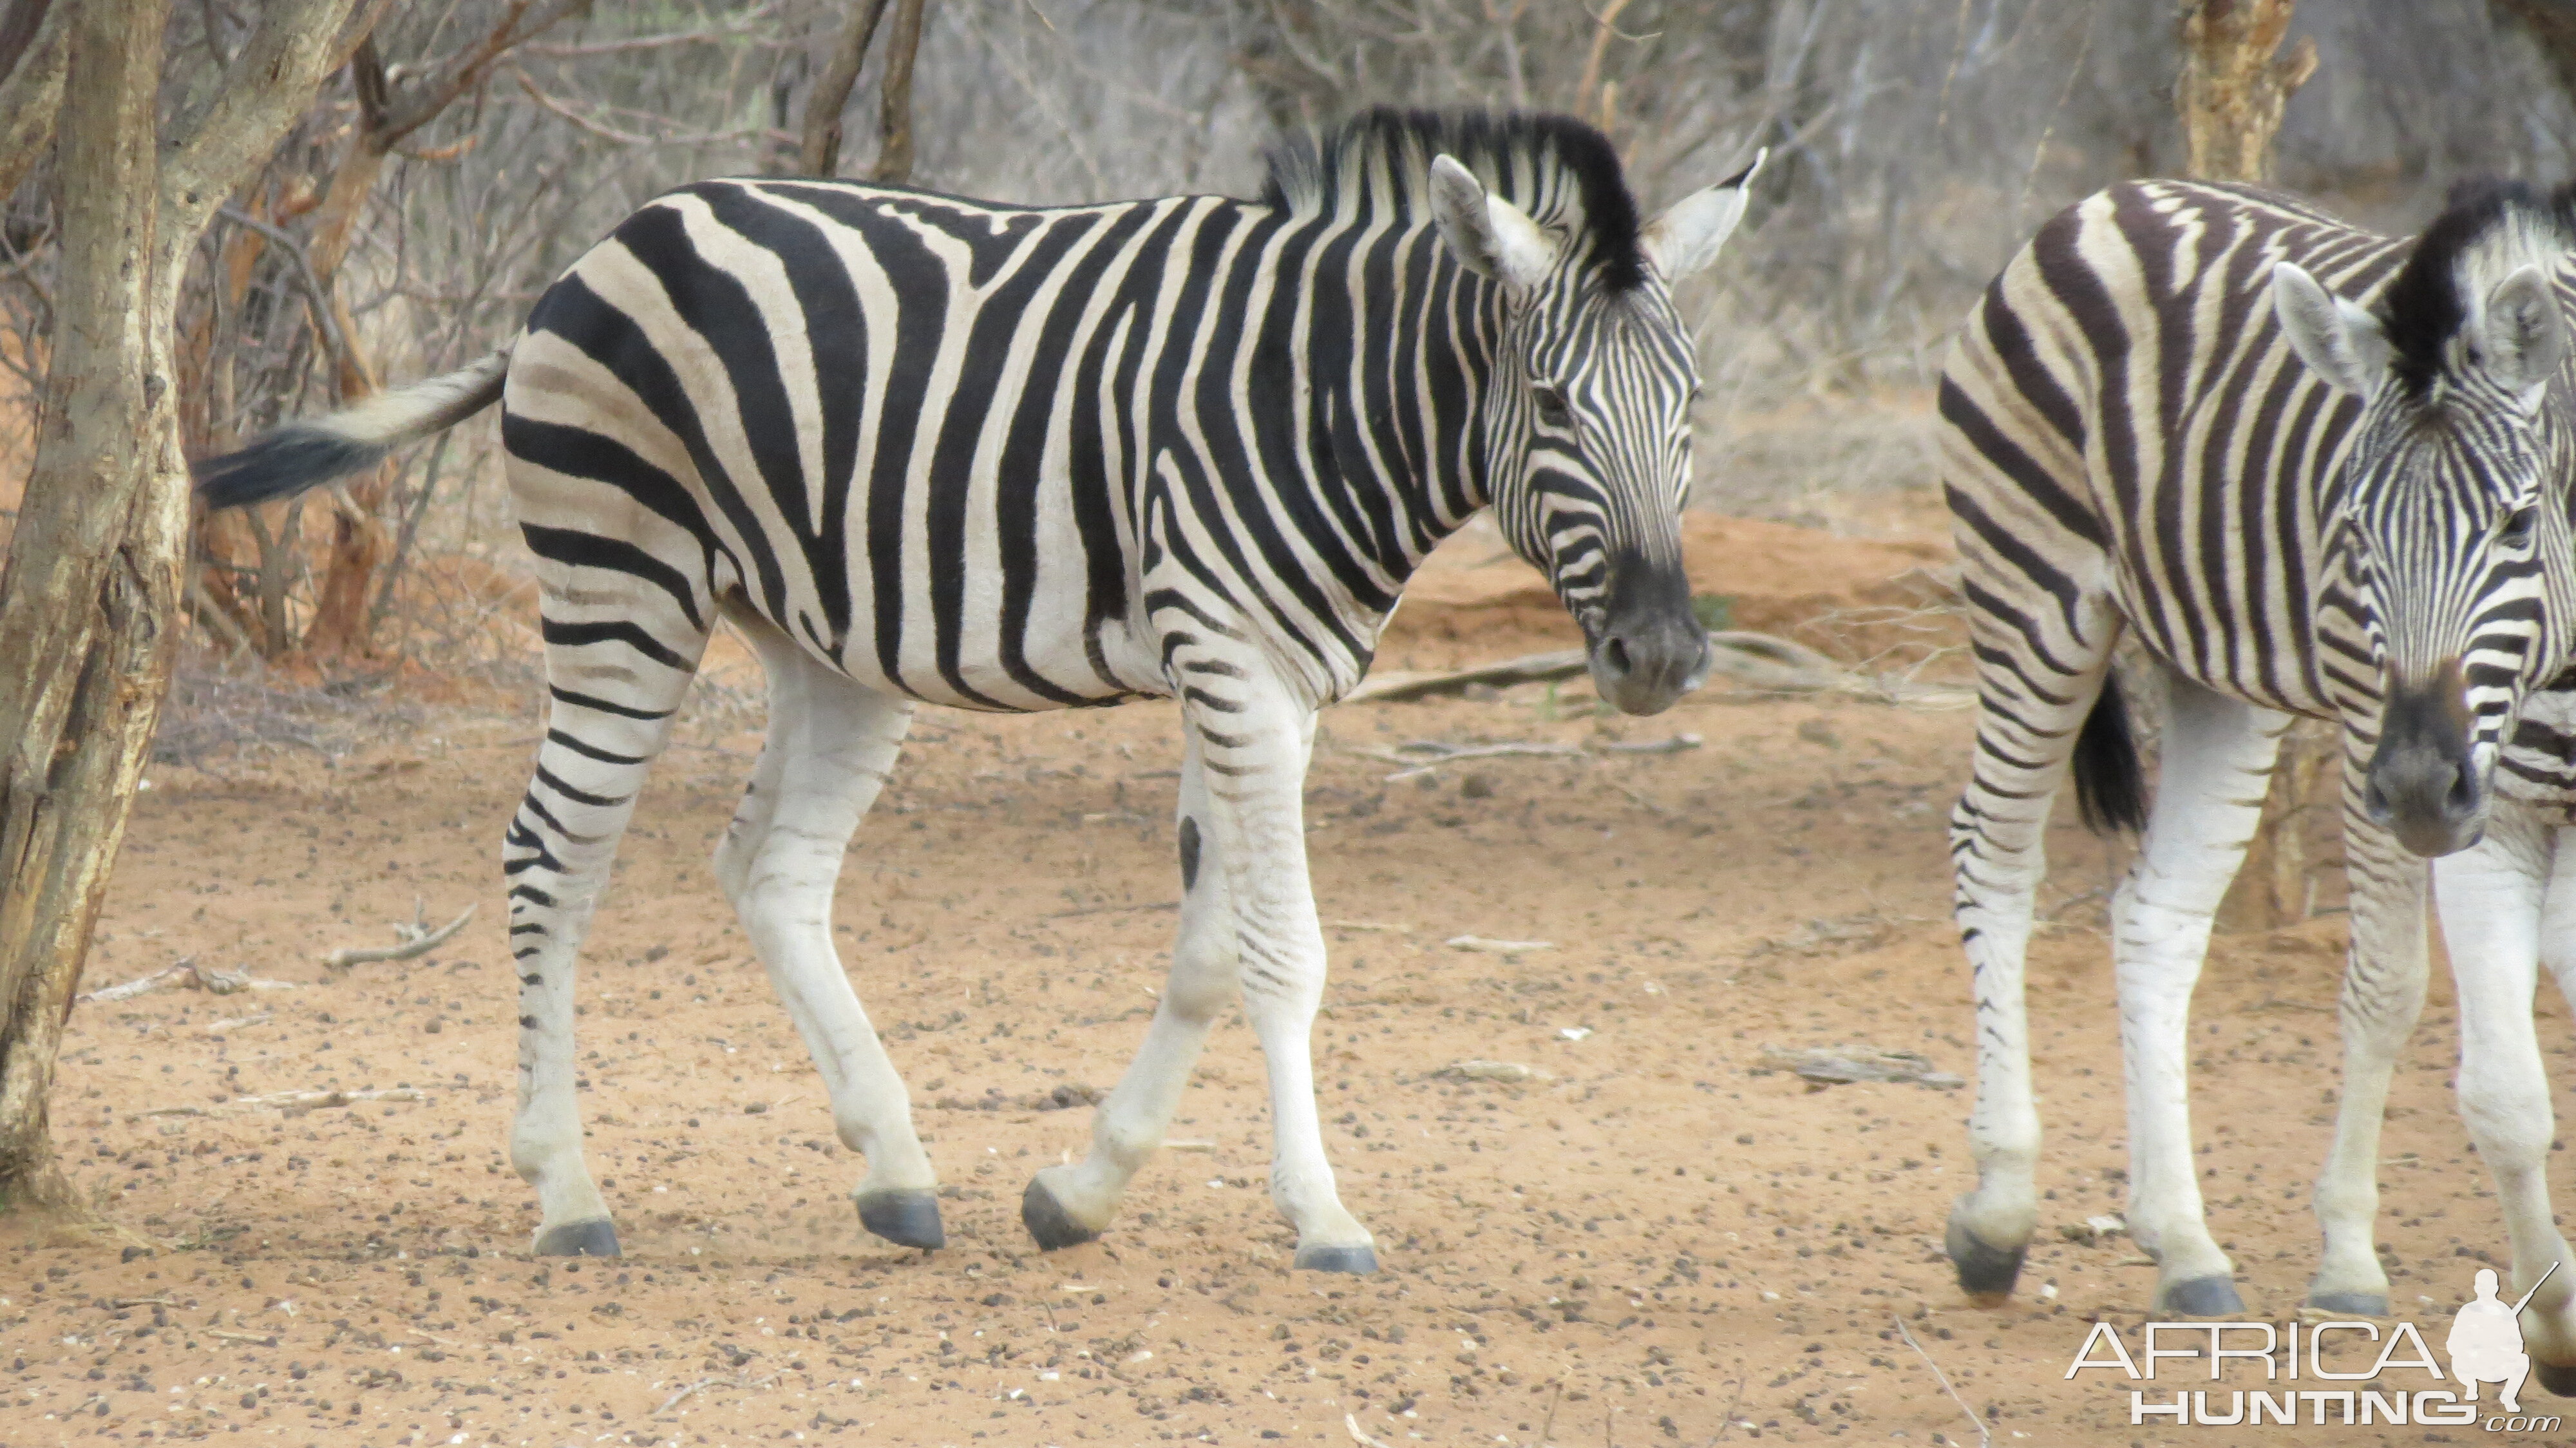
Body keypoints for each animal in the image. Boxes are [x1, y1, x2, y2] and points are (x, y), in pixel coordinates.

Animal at [196, 110, 1772, 1262]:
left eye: (1691, 409)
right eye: (1553, 405)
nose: (1658, 653)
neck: (1324, 399)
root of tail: (596, 249)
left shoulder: (1279, 678)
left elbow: (1212, 948)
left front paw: (1081, 1189)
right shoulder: (1230, 659)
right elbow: (1286, 952)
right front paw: (1321, 1214)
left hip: (829, 643)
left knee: (769, 868)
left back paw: (893, 1171)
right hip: (622, 583)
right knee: (551, 860)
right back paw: (569, 1191)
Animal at [1937, 175, 2576, 1350]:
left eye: (2519, 522)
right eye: (2351, 529)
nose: (2423, 782)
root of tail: (2110, 200)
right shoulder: (2417, 760)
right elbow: (2395, 992)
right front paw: (2352, 1265)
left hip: (2220, 686)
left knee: (2155, 915)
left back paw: (2184, 1245)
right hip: (2031, 594)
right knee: (1993, 859)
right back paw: (2000, 1210)